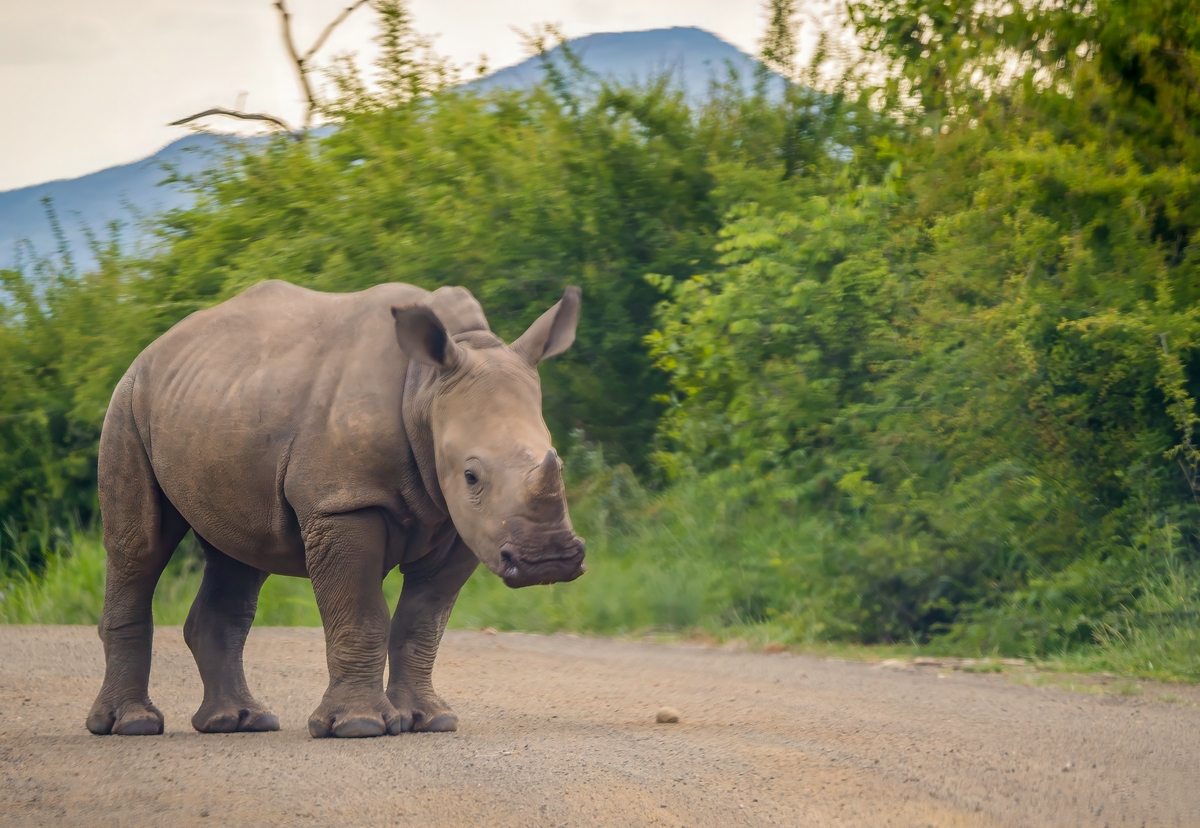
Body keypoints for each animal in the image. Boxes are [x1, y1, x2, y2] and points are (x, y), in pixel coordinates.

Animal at [87, 278, 583, 734]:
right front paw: (359, 726)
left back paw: (241, 721)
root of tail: (154, 349)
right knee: (139, 550)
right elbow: (361, 613)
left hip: (218, 406)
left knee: (239, 555)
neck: (425, 389)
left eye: (557, 460)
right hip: (128, 403)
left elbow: (423, 620)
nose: (550, 561)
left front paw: (429, 720)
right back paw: (130, 725)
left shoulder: (463, 524)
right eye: (472, 475)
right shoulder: (343, 503)